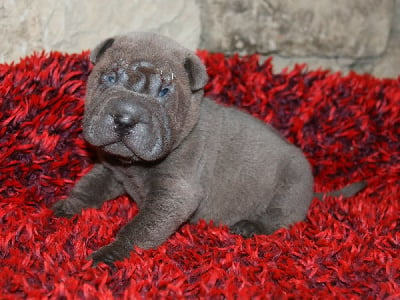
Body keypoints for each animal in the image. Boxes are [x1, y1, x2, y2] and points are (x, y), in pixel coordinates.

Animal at [52, 31, 366, 264]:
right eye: (110, 78)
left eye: (164, 92)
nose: (125, 118)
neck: (133, 166)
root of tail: (313, 192)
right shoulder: (110, 171)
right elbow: (88, 188)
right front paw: (67, 207)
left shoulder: (175, 194)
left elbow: (140, 228)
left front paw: (111, 254)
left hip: (291, 185)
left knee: (280, 218)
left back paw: (250, 226)